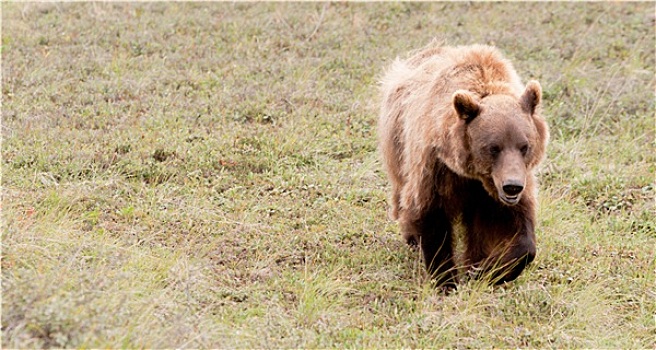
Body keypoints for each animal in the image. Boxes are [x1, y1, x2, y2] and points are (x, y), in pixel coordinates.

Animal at [376, 42, 552, 288]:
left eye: (524, 146)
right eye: (493, 147)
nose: (512, 186)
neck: (475, 175)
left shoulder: (505, 185)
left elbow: (518, 227)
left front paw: (484, 270)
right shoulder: (438, 167)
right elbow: (431, 214)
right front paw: (447, 280)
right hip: (398, 144)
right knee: (403, 195)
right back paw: (412, 237)